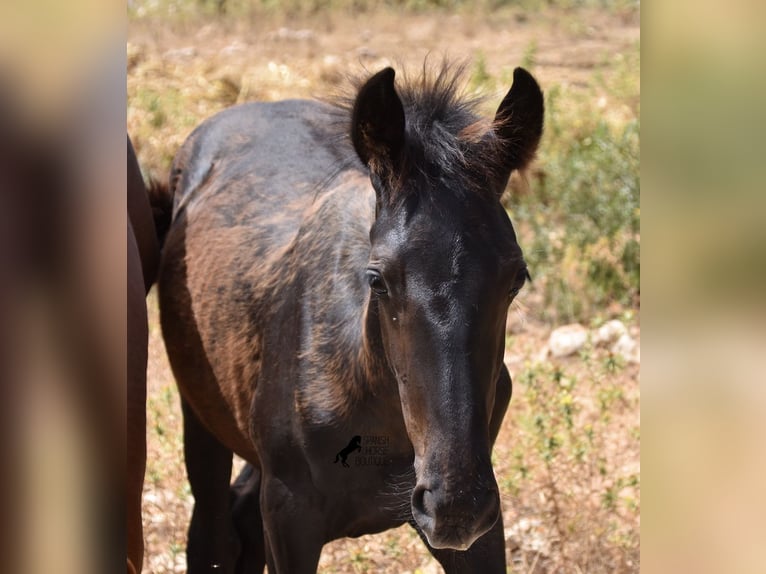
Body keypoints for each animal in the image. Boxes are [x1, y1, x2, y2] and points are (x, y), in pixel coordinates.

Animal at [156, 63, 544, 574]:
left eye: (517, 276)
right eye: (377, 278)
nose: (455, 506)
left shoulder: (478, 531)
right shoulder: (289, 515)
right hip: (200, 418)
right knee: (213, 533)